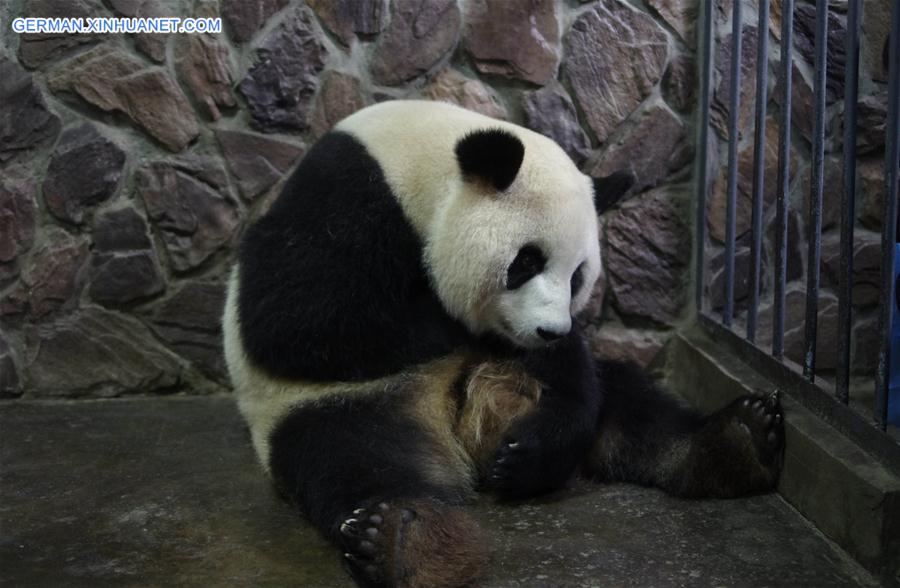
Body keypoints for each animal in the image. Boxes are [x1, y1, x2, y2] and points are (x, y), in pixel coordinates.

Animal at [221, 101, 784, 588]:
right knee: (357, 461)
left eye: (578, 276)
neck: (427, 166)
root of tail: (453, 422)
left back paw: (736, 441)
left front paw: (525, 458)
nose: (550, 331)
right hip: (335, 405)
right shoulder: (348, 197)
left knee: (632, 402)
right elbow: (295, 316)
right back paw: (401, 543)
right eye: (526, 261)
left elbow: (575, 384)